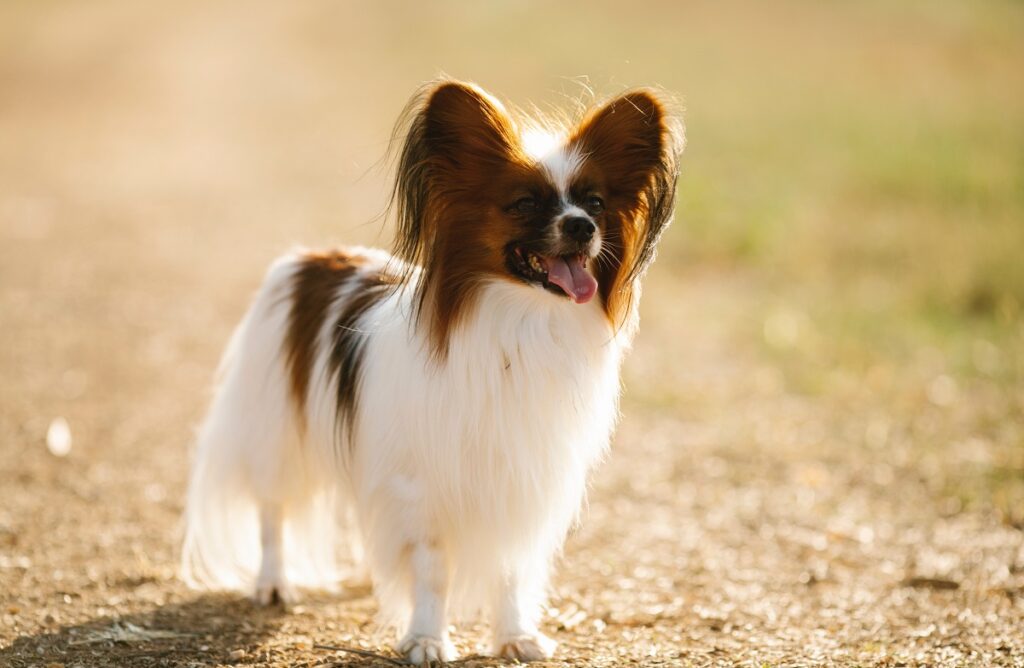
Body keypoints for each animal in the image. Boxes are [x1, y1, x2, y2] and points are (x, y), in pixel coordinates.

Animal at [181, 79, 684, 663]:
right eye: (524, 203)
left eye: (596, 203)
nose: (582, 227)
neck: (521, 322)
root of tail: (313, 258)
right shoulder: (423, 483)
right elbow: (432, 570)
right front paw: (425, 637)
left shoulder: (521, 477)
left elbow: (511, 568)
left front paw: (514, 635)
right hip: (278, 433)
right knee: (271, 512)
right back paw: (273, 583)